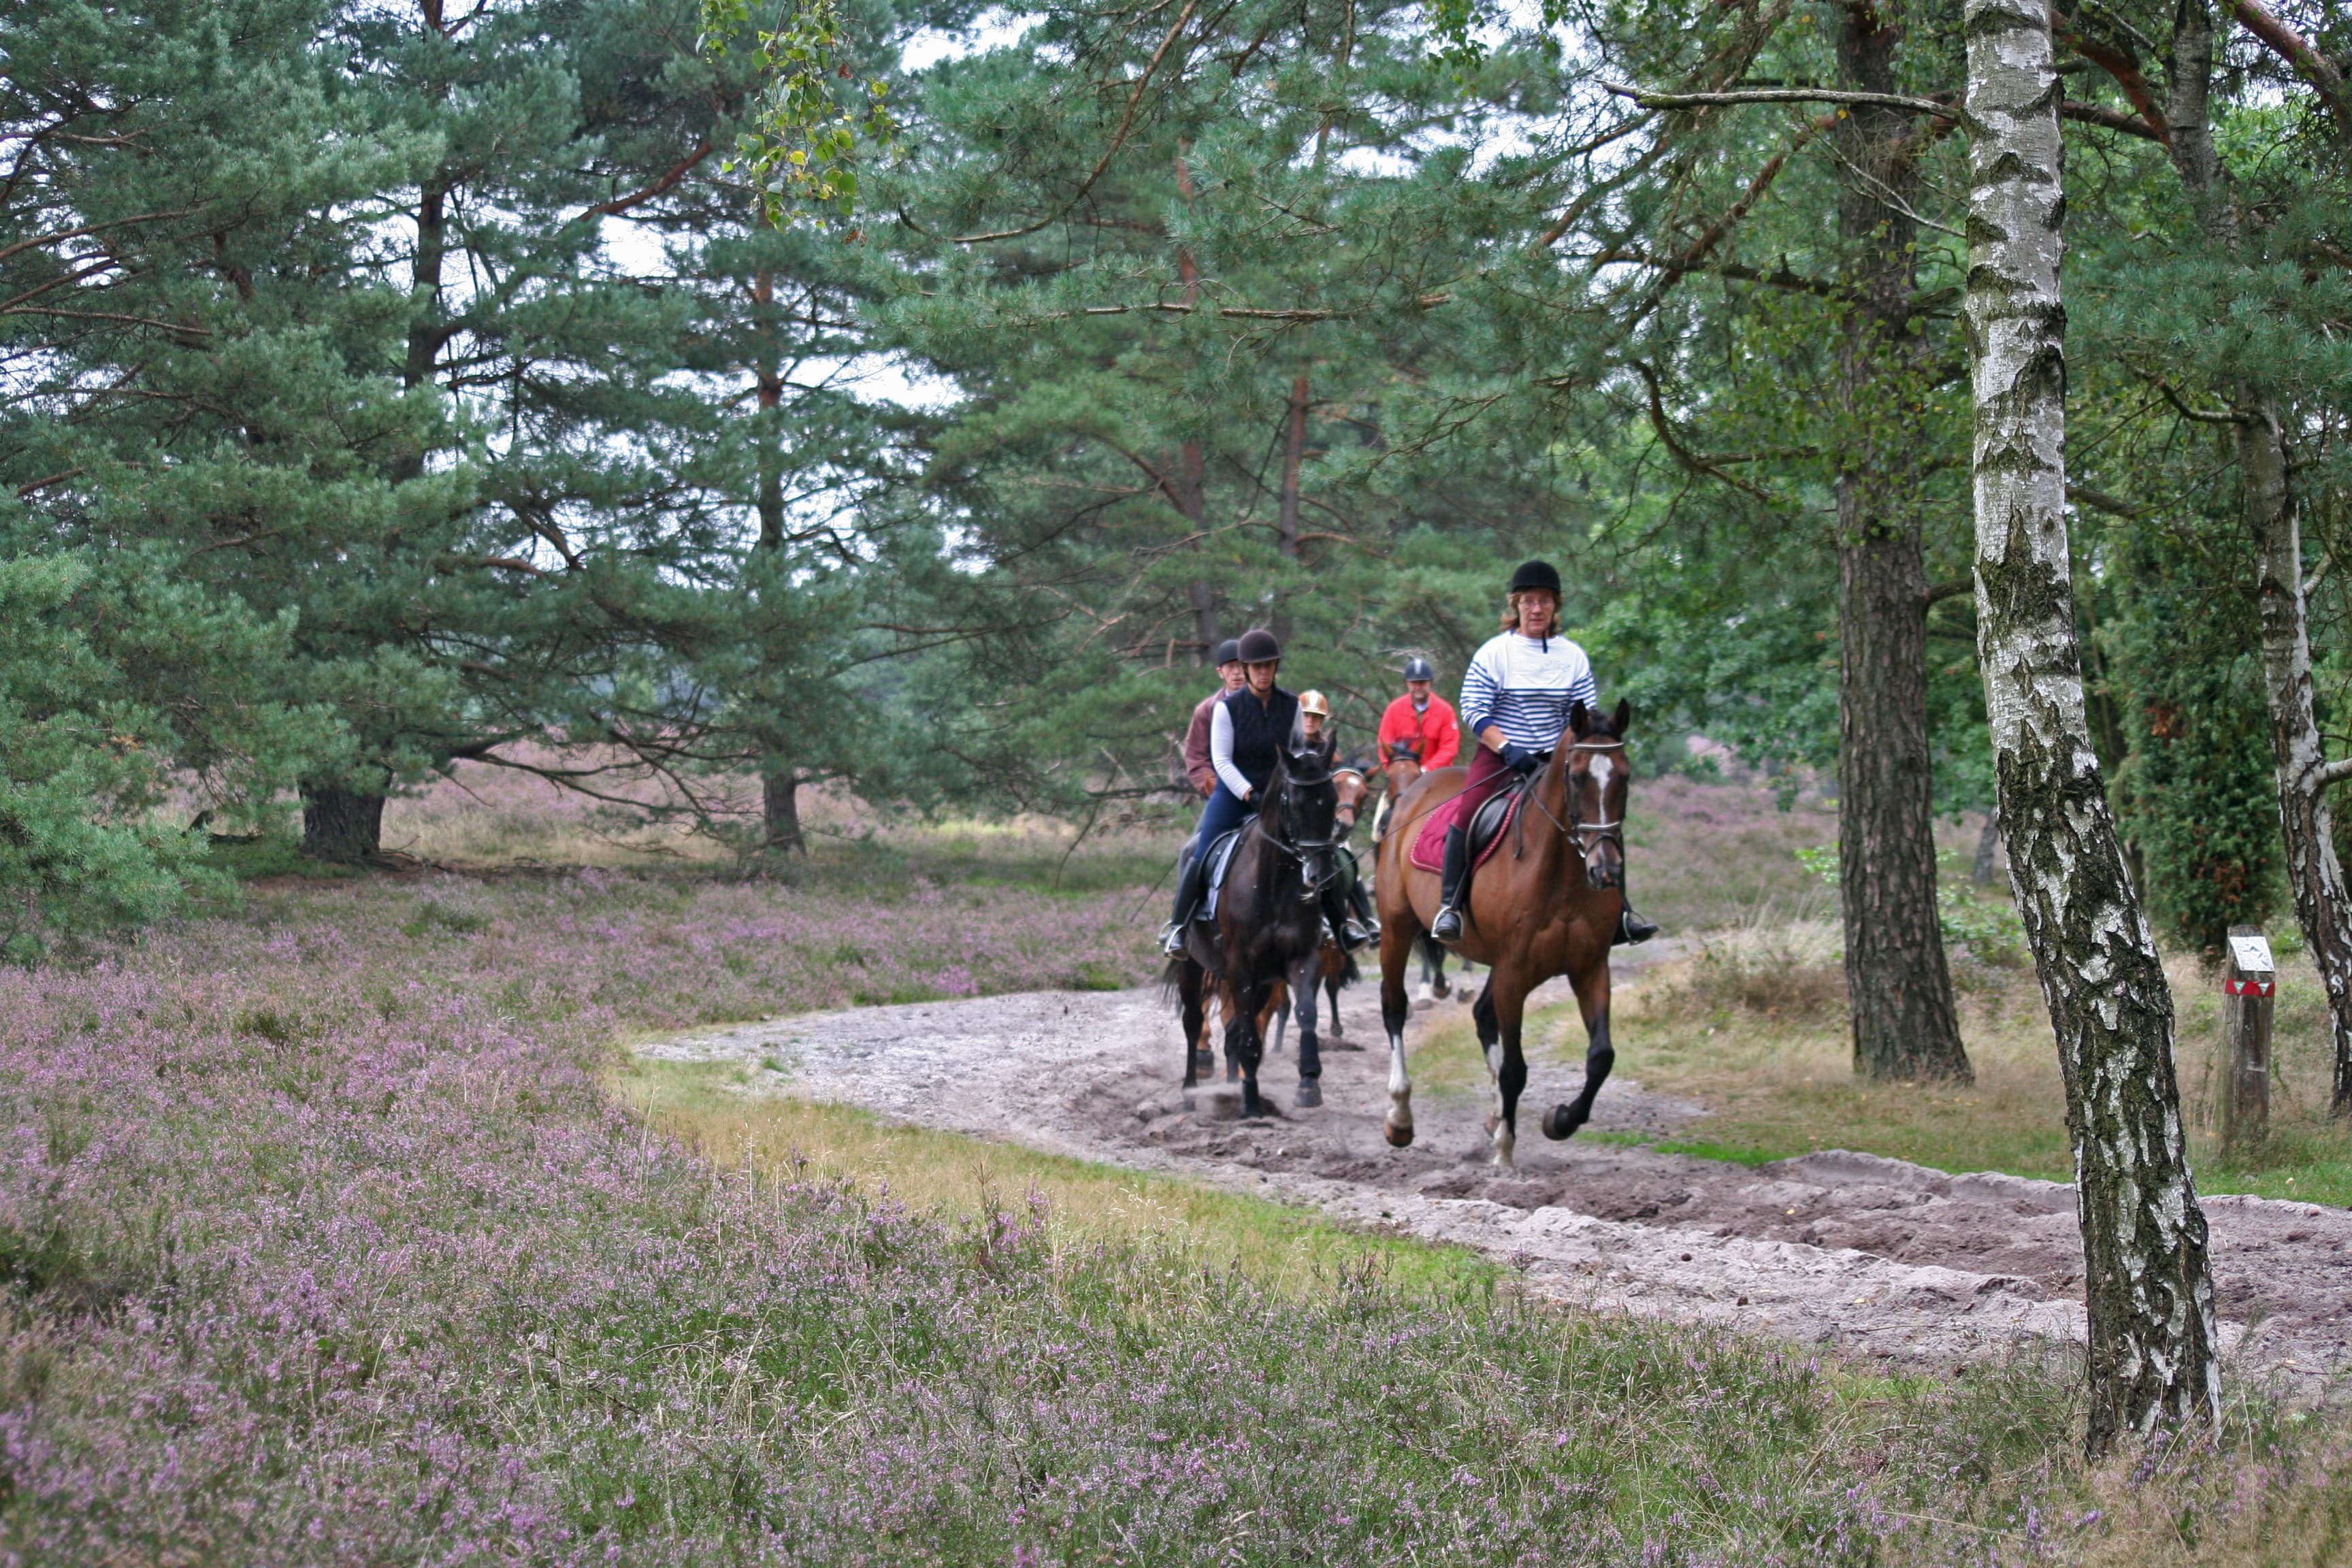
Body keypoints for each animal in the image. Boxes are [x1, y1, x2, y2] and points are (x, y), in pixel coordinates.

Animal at [1162, 738, 1336, 1114]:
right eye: (1295, 804)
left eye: (1331, 800)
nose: (1321, 874)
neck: (1272, 882)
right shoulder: (1241, 967)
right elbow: (1249, 1038)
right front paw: (1252, 1103)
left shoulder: (1301, 958)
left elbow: (1306, 1013)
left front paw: (1309, 1082)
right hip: (1194, 966)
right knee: (1193, 1022)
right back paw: (1190, 1091)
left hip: (1262, 982)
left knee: (1236, 1029)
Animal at [1373, 700, 1627, 1166]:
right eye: (1577, 776)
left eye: (1625, 776)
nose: (1606, 870)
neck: (1560, 875)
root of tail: (1413, 792)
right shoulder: (1514, 971)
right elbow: (1515, 1068)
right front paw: (1505, 1154)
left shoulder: (1590, 967)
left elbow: (1601, 1057)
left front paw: (1560, 1120)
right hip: (1397, 929)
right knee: (1395, 1008)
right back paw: (1400, 1117)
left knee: (1481, 1016)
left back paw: (1494, 1117)